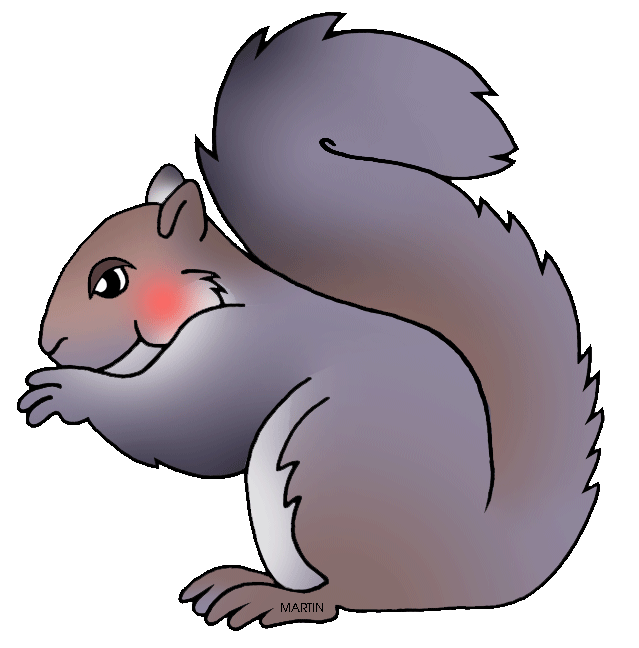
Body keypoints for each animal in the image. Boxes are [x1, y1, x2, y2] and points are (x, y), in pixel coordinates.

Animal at [18, 13, 602, 629]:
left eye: (110, 281)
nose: (49, 341)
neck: (209, 297)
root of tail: (471, 571)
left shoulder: (239, 352)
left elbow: (178, 425)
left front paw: (68, 390)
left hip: (319, 476)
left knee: (340, 598)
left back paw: (261, 595)